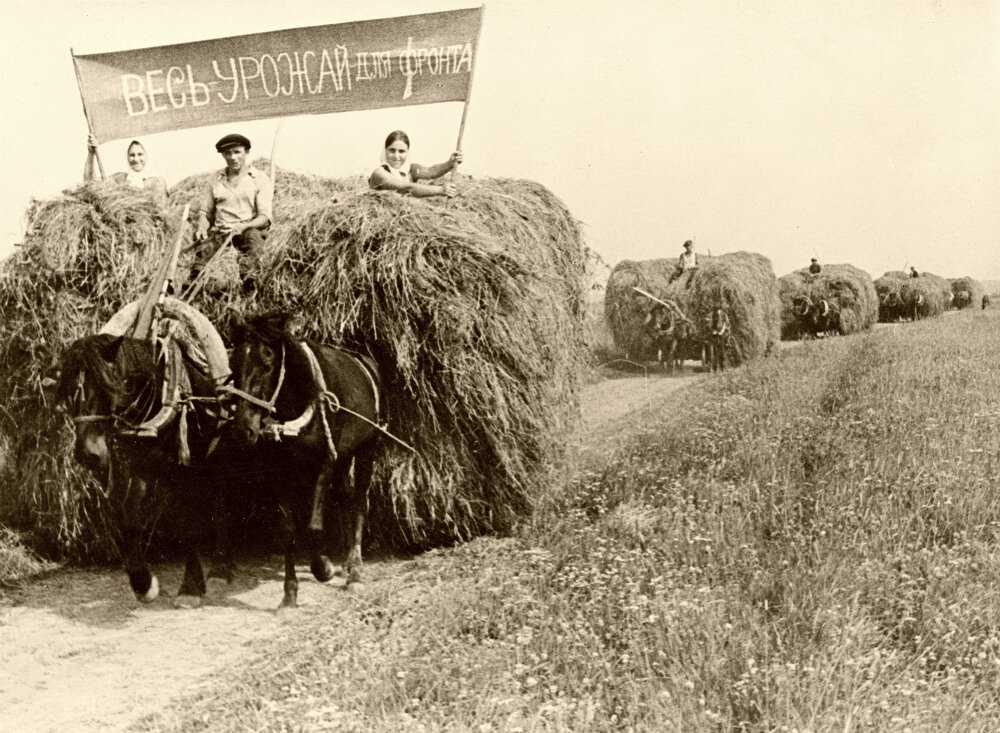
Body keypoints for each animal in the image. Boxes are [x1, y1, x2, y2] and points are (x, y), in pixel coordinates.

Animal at [58, 332, 236, 608]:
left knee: (222, 503)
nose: (88, 454)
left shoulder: (189, 473)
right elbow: (127, 520)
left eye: (109, 387)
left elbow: (190, 527)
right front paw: (143, 583)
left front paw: (190, 587)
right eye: (67, 391)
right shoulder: (139, 467)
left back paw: (220, 569)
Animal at [230, 312, 382, 608]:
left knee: (358, 502)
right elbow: (288, 528)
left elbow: (313, 526)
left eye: (267, 359)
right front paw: (290, 593)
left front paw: (322, 566)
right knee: (344, 498)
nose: (244, 429)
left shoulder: (324, 463)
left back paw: (355, 572)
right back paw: (348, 563)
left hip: (366, 448)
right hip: (343, 455)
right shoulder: (280, 470)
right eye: (234, 362)